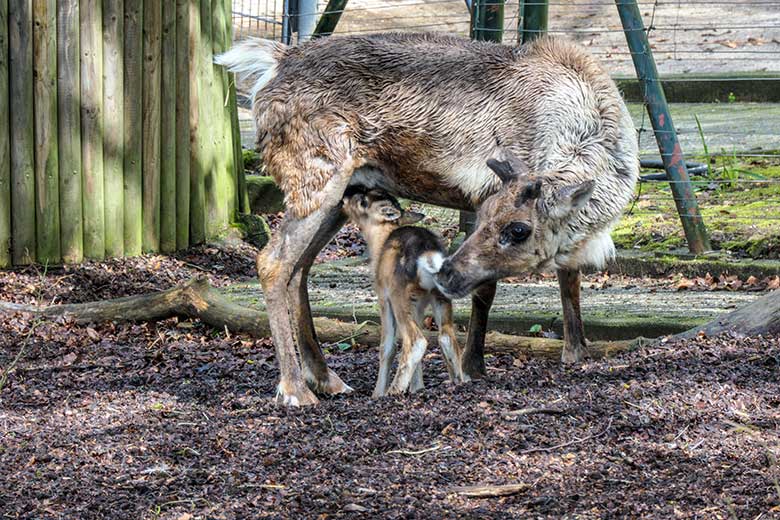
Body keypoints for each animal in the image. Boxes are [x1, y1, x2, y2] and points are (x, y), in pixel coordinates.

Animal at [342, 189, 464, 396]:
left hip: (398, 295)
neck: (379, 241)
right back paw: (459, 382)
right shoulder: (418, 304)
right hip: (440, 296)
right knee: (446, 337)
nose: (345, 197)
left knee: (416, 340)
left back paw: (393, 391)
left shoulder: (383, 297)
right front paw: (418, 387)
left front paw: (377, 393)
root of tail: (428, 255)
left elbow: (387, 347)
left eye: (363, 201)